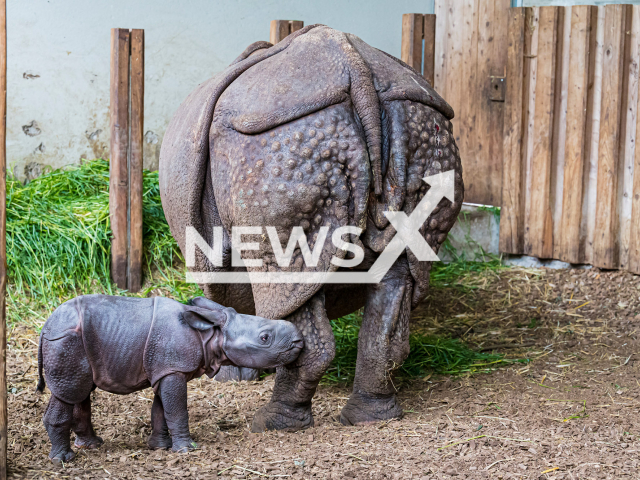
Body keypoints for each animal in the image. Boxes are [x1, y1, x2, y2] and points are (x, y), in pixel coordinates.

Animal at [35, 294, 304, 464]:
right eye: (265, 338)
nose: (299, 340)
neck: (208, 334)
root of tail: (45, 326)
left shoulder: (165, 368)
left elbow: (160, 409)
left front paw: (159, 446)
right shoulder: (173, 369)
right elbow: (176, 409)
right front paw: (186, 449)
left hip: (74, 343)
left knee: (79, 393)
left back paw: (91, 445)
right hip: (64, 341)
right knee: (68, 393)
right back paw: (63, 460)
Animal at [158, 25, 462, 432]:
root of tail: (356, 69)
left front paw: (233, 374)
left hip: (274, 144)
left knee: (284, 271)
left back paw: (271, 424)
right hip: (419, 128)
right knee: (397, 274)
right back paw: (368, 418)